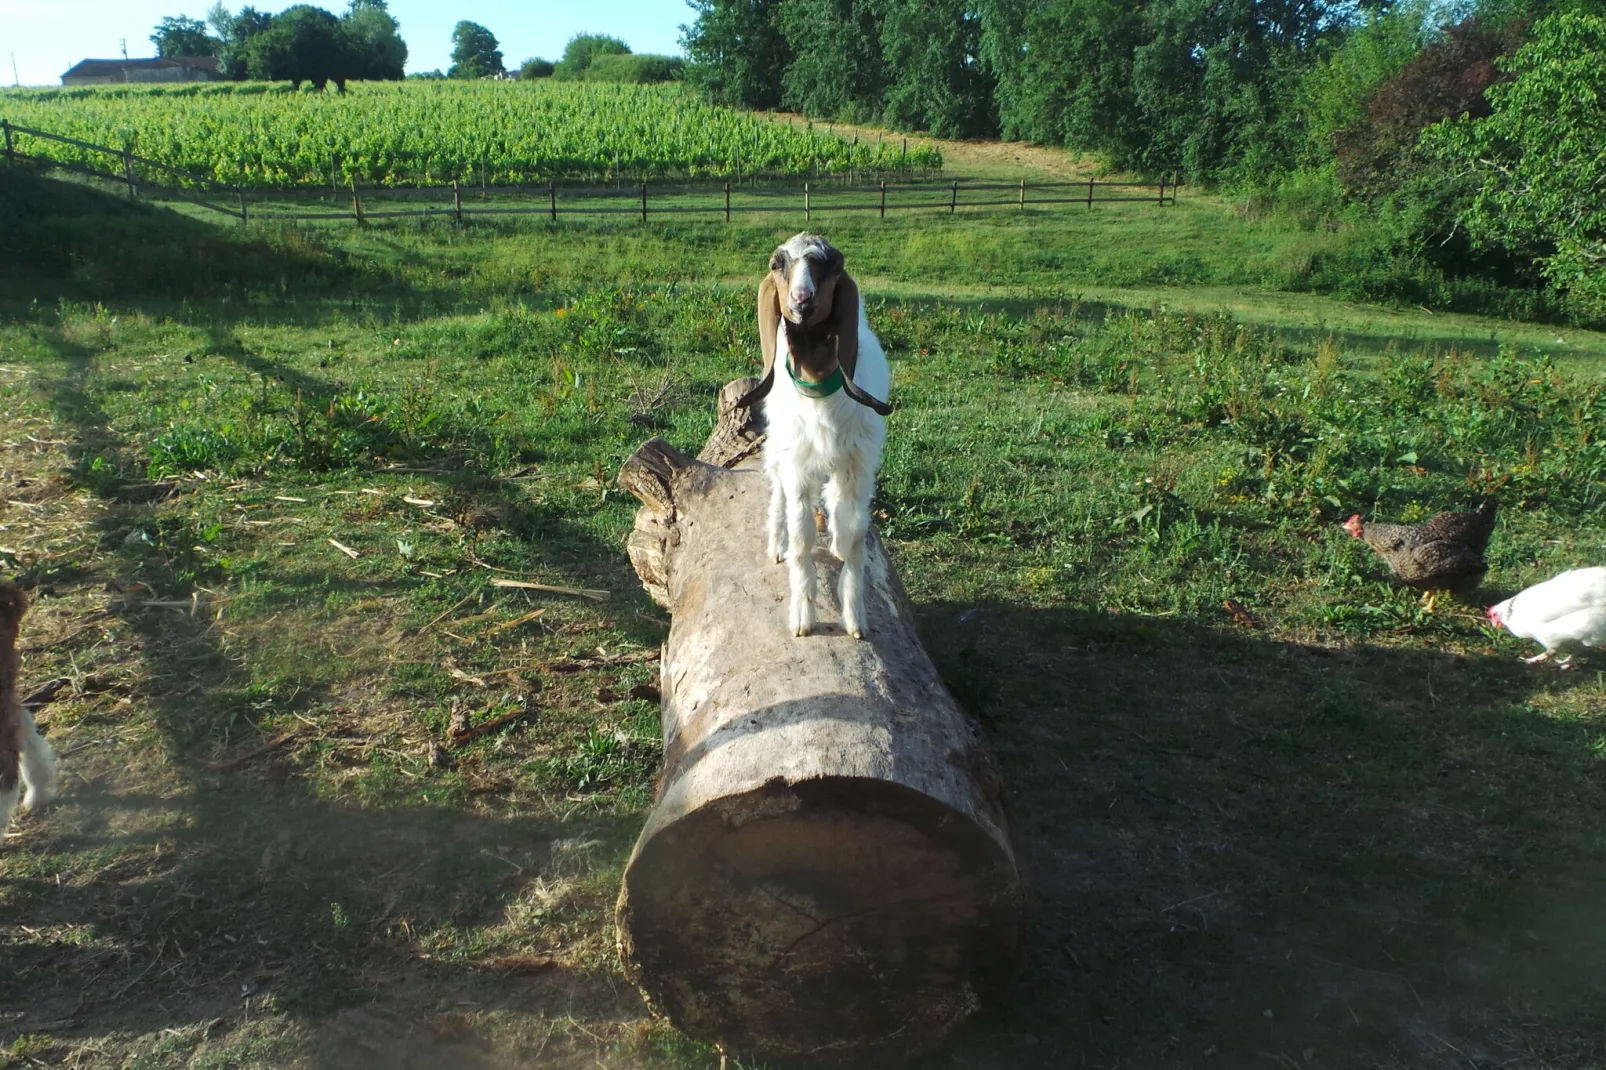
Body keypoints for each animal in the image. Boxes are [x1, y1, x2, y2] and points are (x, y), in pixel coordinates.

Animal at [732, 231, 892, 633]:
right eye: (777, 264)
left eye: (833, 264)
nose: (802, 299)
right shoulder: (798, 468)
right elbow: (802, 539)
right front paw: (803, 617)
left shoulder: (857, 466)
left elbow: (854, 538)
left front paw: (855, 617)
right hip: (780, 450)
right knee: (778, 496)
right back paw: (777, 544)